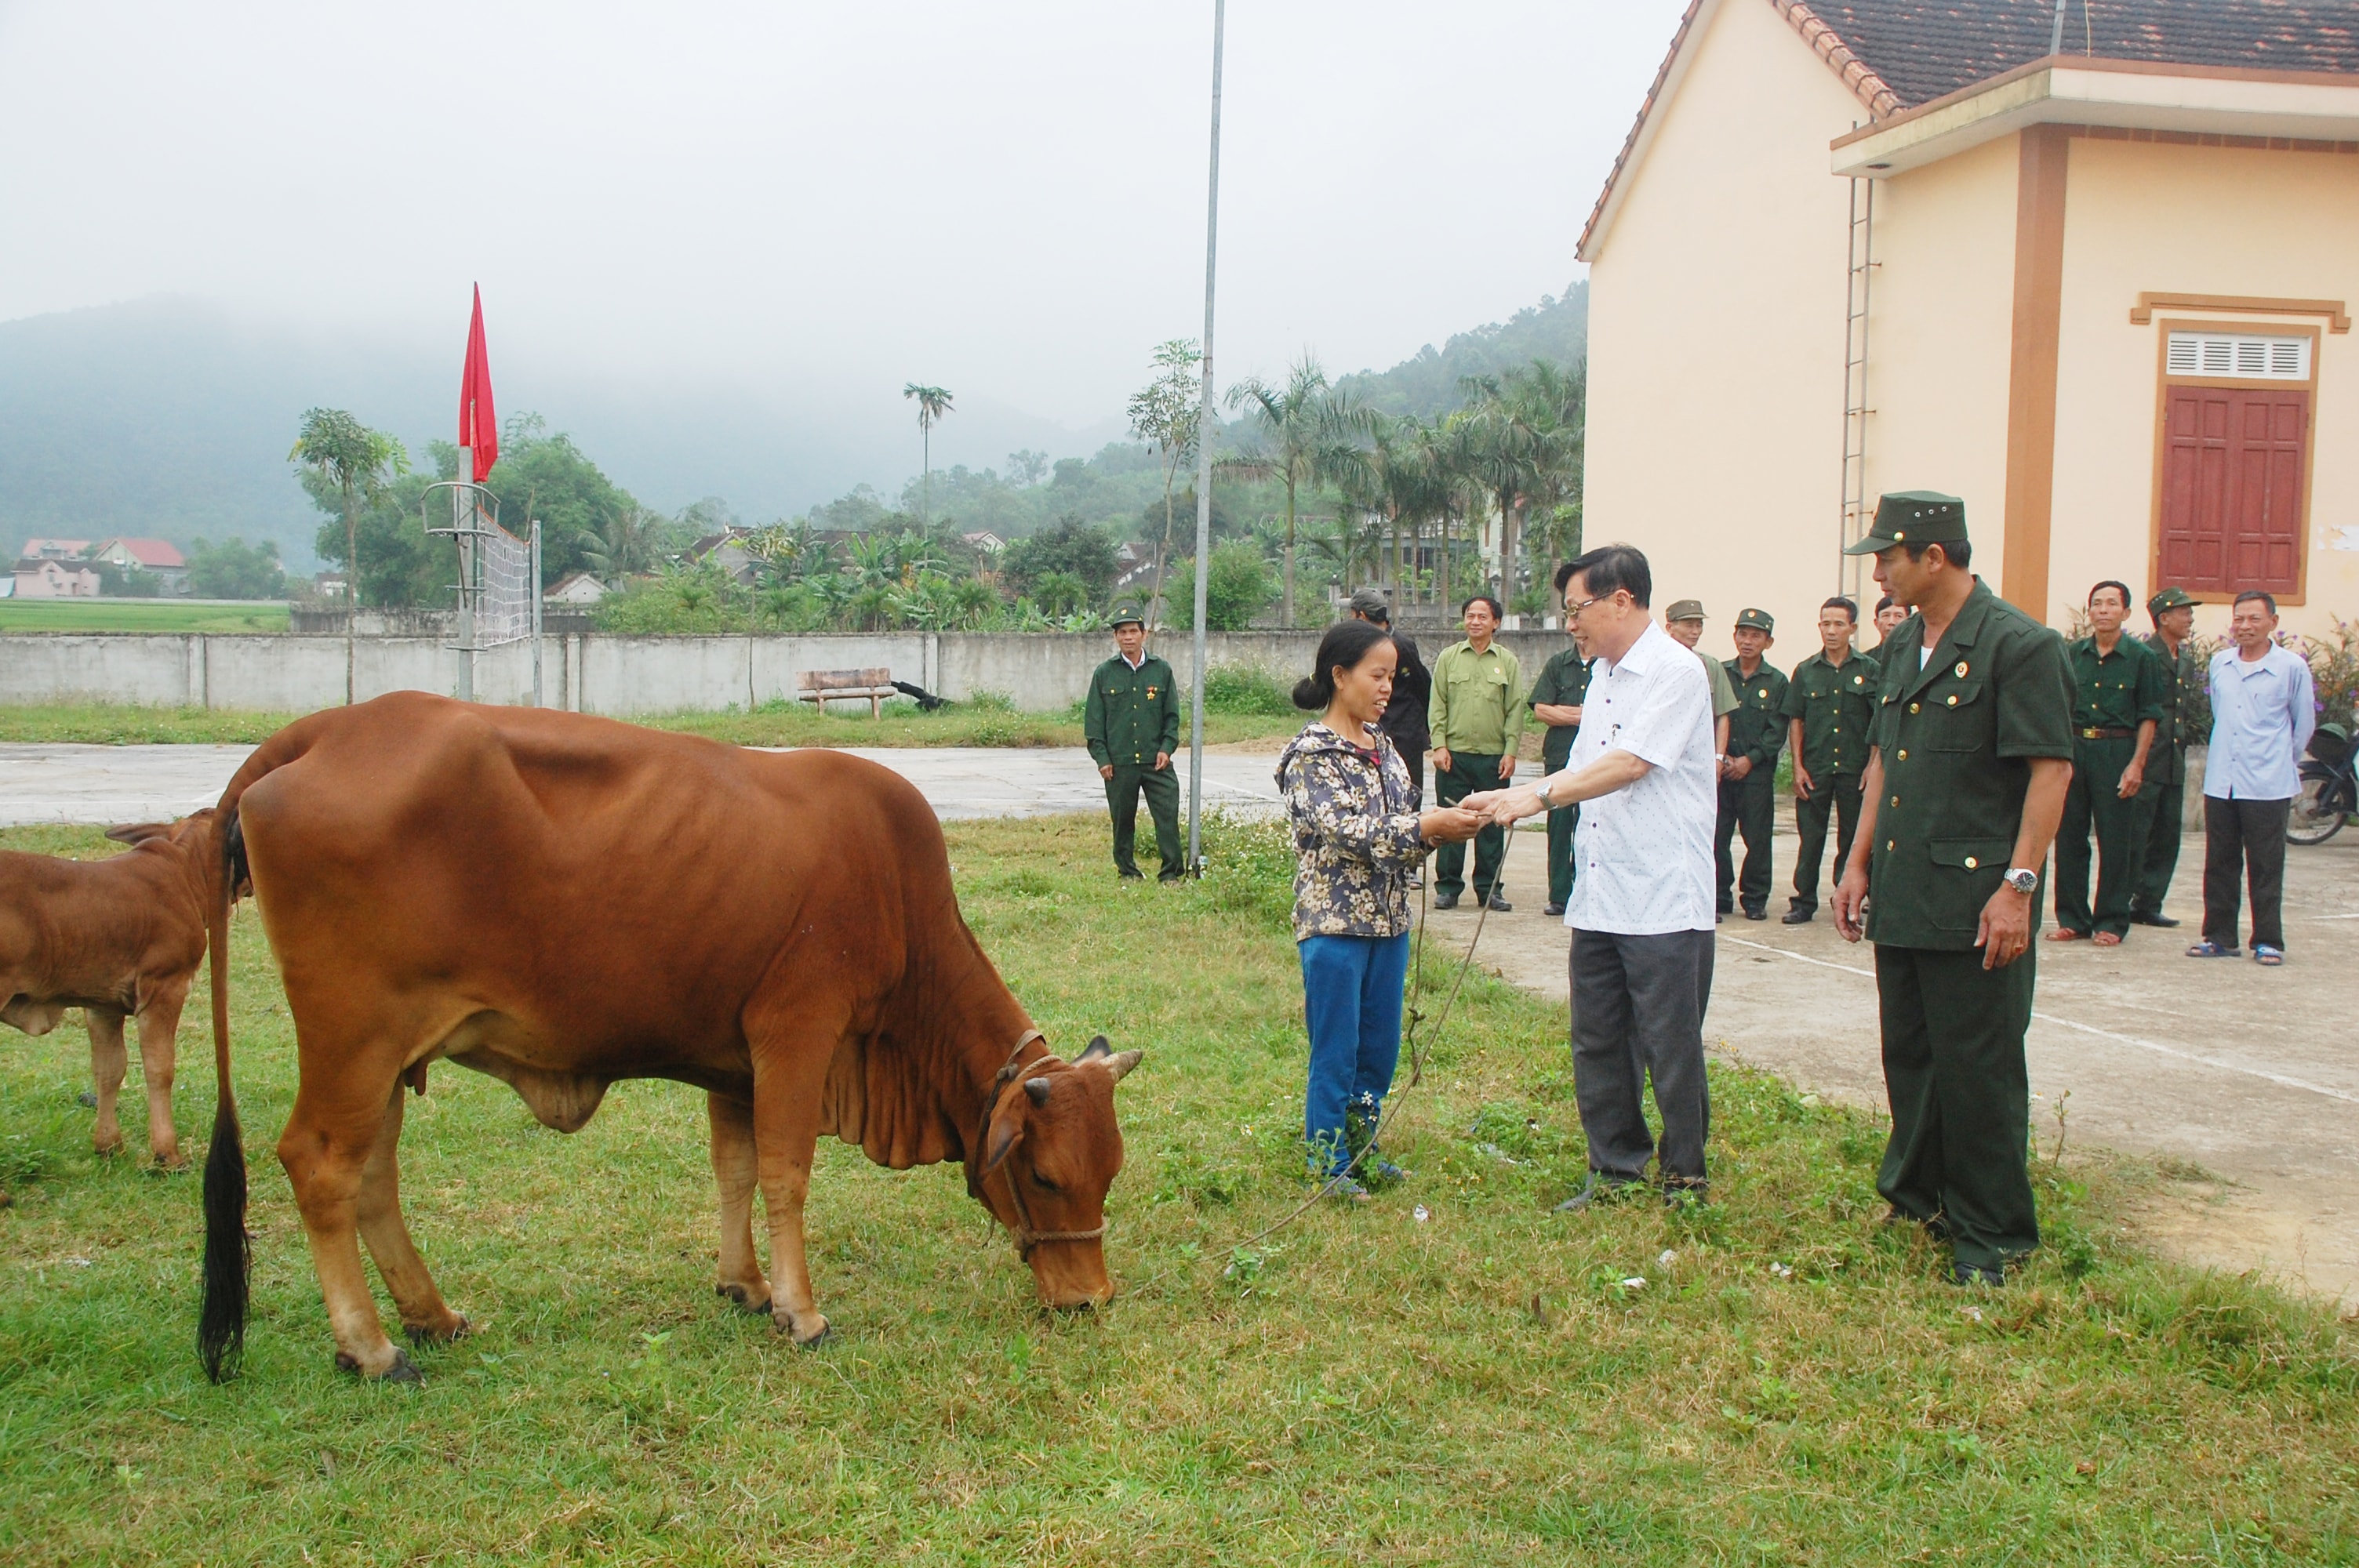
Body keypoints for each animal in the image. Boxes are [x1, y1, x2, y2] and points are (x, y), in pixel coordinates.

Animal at [2, 811, 224, 1169]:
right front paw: (167, 1153)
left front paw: (109, 1145)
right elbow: (160, 1067)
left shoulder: (101, 1004)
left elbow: (109, 1069)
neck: (186, 870)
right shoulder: (165, 988)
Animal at [198, 693, 1136, 1377]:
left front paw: (745, 1286)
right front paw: (803, 1312)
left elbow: (735, 1169)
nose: (1090, 1297)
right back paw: (373, 1347)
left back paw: (432, 1315)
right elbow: (786, 1174)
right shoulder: (796, 1033)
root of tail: (323, 730)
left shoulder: (735, 1064)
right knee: (322, 1166)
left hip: (390, 1056)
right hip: (353, 1042)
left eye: (1110, 1173)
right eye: (1045, 1176)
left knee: (375, 1176)